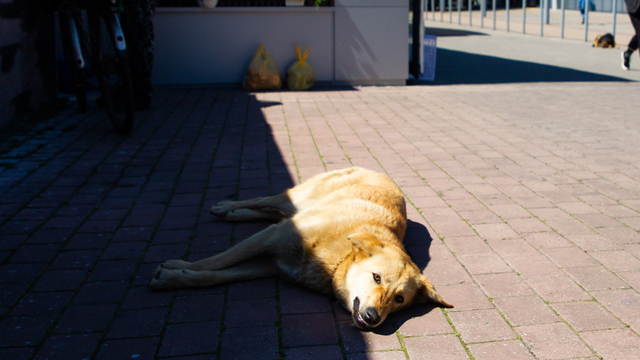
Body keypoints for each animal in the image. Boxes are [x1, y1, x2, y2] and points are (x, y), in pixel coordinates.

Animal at [149, 166, 450, 330]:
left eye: (399, 299)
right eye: (376, 277)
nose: (372, 317)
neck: (336, 261)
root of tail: (377, 171)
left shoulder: (270, 264)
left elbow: (214, 276)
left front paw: (174, 277)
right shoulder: (270, 238)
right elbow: (216, 261)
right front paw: (177, 267)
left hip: (291, 210)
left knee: (271, 211)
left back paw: (236, 214)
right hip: (294, 198)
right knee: (265, 201)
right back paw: (228, 207)